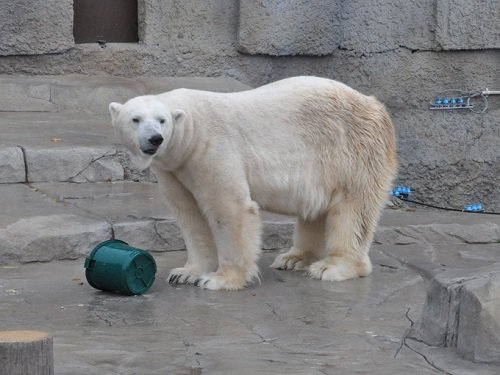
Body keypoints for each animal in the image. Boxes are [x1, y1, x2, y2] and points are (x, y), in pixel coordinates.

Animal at [108, 76, 394, 292]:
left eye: (162, 120)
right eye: (135, 119)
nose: (155, 139)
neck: (191, 129)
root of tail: (375, 105)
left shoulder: (211, 149)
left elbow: (229, 208)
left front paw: (220, 279)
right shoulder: (174, 169)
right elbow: (190, 216)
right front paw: (186, 273)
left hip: (352, 152)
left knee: (352, 211)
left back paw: (331, 266)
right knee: (315, 209)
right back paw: (294, 258)